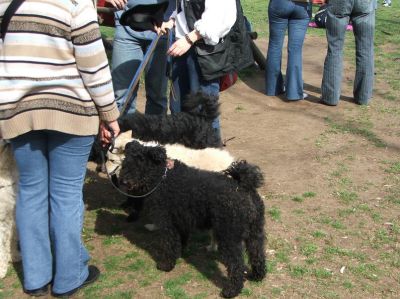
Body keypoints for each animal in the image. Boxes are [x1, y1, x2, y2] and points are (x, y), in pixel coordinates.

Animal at [120, 141, 268, 299]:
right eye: (126, 160)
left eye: (140, 161)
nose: (123, 180)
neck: (163, 177)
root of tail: (243, 186)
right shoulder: (181, 221)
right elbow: (180, 241)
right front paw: (179, 253)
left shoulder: (166, 223)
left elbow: (168, 244)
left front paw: (166, 265)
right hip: (255, 232)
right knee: (258, 254)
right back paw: (257, 276)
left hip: (229, 236)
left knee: (237, 264)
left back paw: (231, 290)